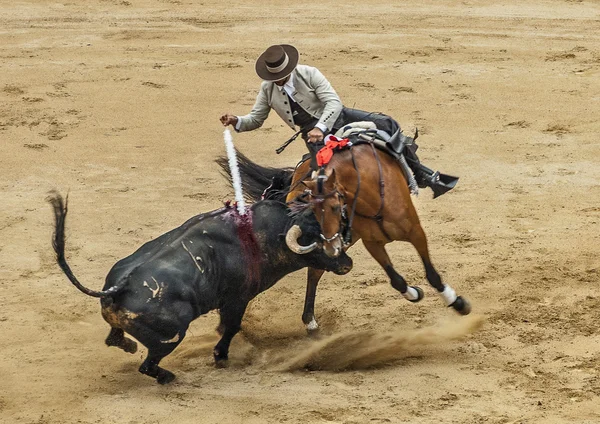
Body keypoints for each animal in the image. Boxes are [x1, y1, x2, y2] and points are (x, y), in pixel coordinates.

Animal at [50, 192, 356, 384]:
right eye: (316, 240)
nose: (347, 263)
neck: (268, 233)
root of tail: (116, 289)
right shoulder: (237, 299)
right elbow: (231, 327)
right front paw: (221, 357)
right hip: (171, 336)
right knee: (148, 365)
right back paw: (168, 377)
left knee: (114, 339)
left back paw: (129, 345)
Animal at [218, 142, 472, 334]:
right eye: (313, 208)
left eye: (335, 206)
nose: (331, 246)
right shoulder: (372, 243)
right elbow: (396, 280)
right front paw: (415, 293)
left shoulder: (415, 232)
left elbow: (431, 274)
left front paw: (458, 303)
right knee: (315, 271)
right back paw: (309, 321)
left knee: (316, 270)